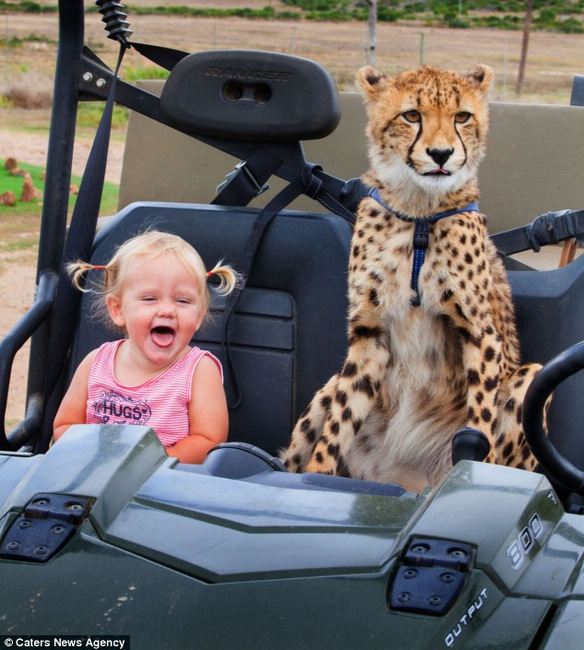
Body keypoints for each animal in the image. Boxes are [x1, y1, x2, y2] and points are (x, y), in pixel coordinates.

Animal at [280, 64, 544, 492]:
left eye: (462, 116)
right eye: (412, 116)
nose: (441, 154)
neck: (420, 209)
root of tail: (402, 479)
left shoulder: (480, 333)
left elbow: (480, 422)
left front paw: (474, 475)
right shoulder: (369, 334)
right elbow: (336, 428)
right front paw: (316, 477)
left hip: (528, 377)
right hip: (330, 390)